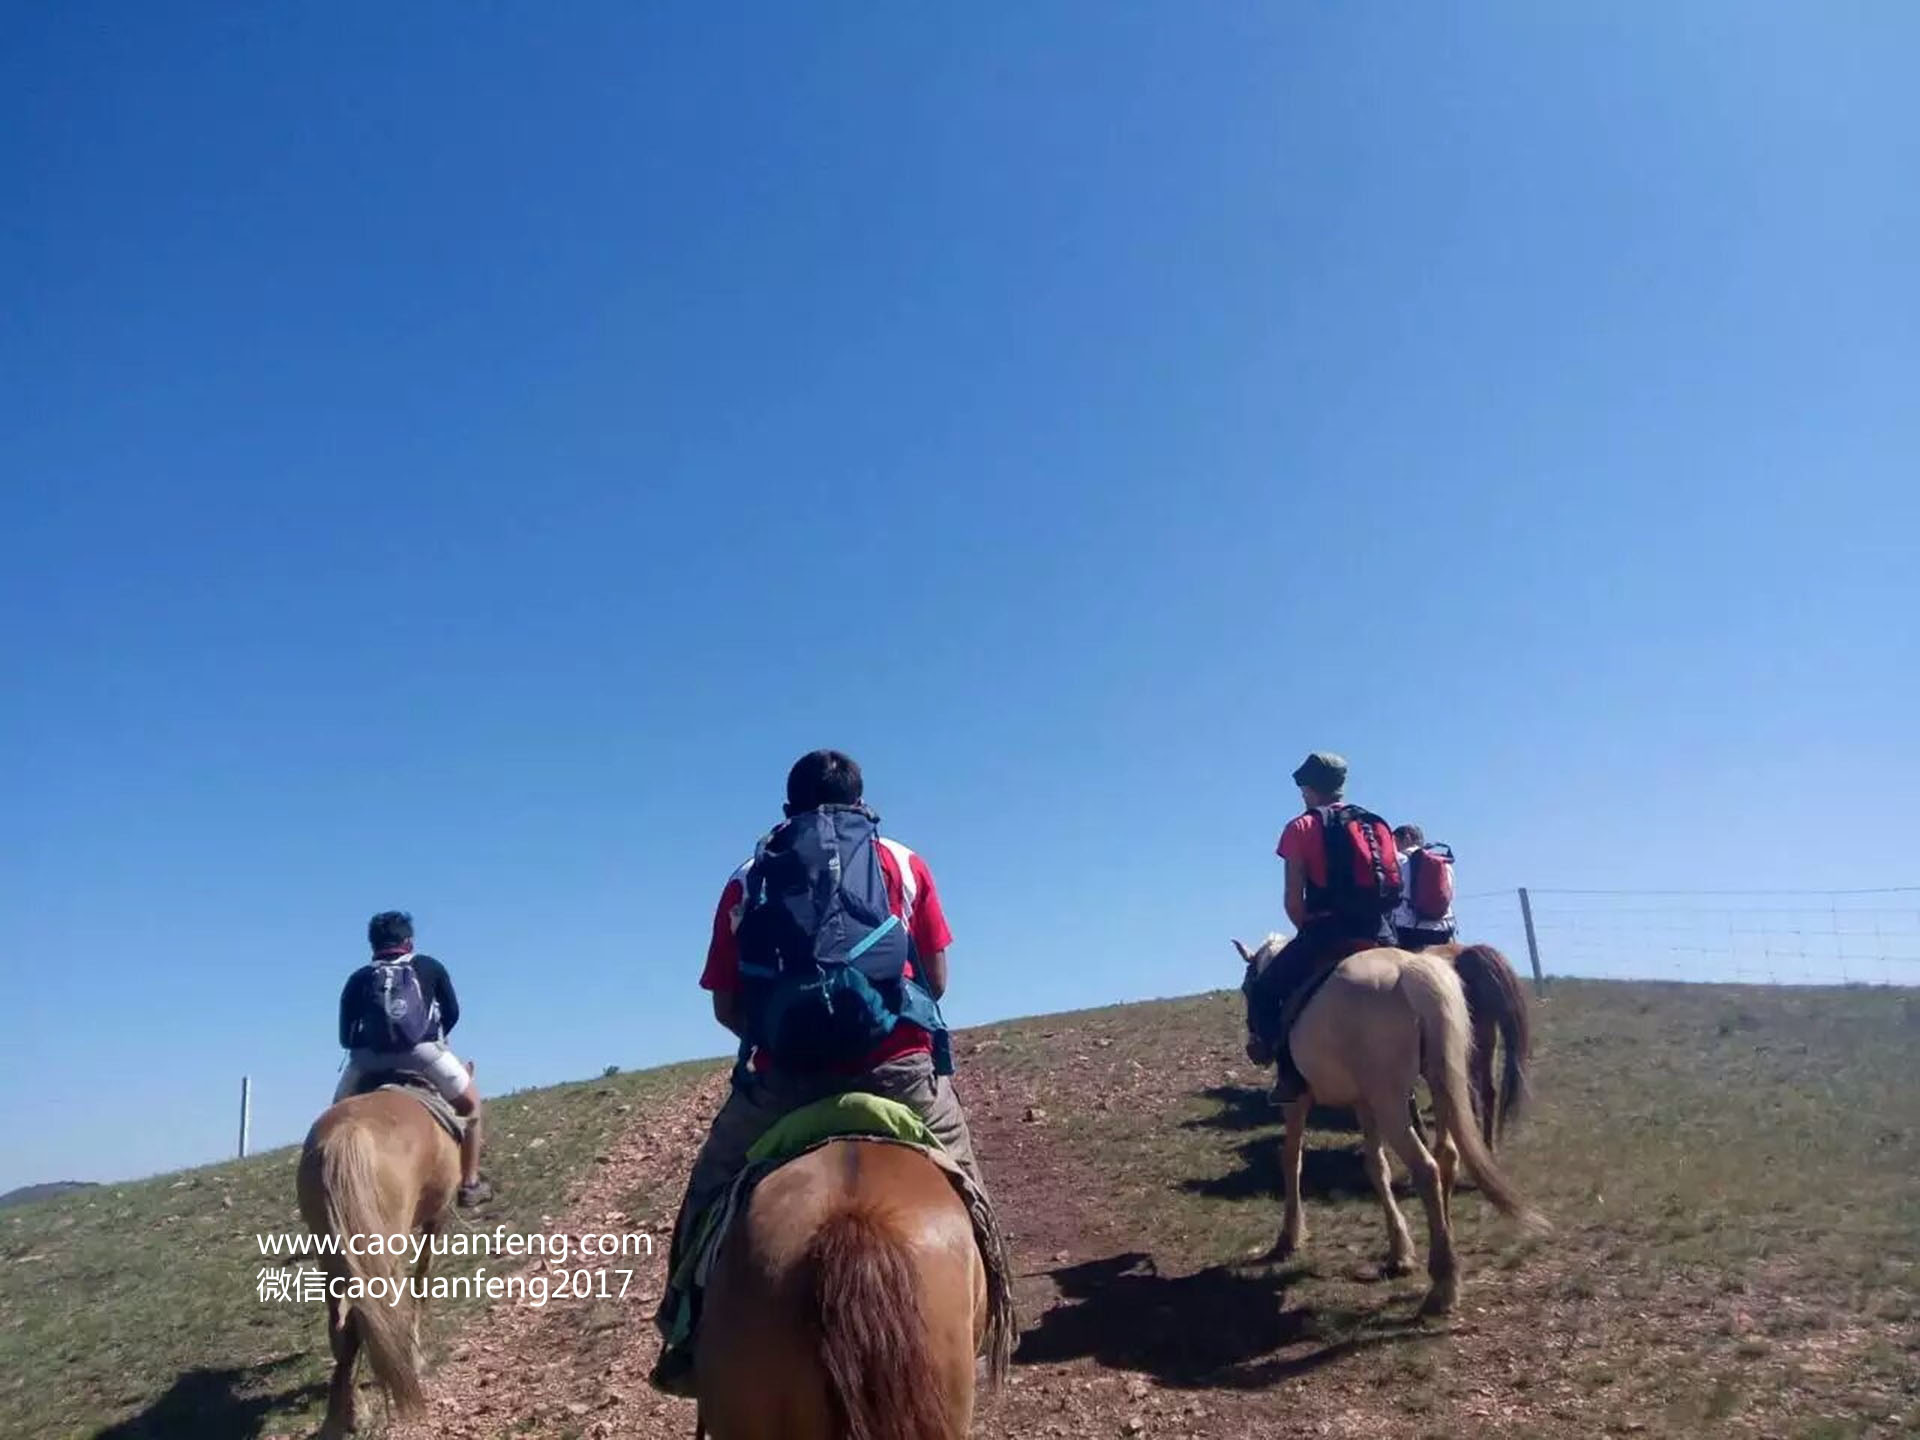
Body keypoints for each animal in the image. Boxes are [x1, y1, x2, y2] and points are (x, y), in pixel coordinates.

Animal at [293, 1075, 462, 1436]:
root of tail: (346, 1134)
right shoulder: (437, 1216)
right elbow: (421, 1281)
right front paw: (417, 1357)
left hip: (332, 1253)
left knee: (342, 1328)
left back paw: (349, 1413)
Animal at [1244, 936, 1543, 1320]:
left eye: (1249, 987)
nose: (1253, 1048)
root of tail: (1412, 970)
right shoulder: (1363, 1102)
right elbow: (1377, 1166)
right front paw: (1399, 1252)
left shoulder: (1298, 1102)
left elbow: (1291, 1159)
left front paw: (1289, 1237)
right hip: (1441, 1084)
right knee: (1447, 1156)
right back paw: (1444, 1251)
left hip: (1392, 1103)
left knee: (1427, 1168)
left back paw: (1443, 1286)